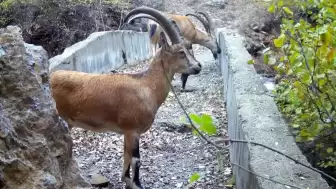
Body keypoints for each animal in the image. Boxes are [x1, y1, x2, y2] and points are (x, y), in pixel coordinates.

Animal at [49, 5, 202, 189]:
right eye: (181, 52)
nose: (198, 66)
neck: (146, 85)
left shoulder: (126, 132)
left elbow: (126, 155)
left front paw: (126, 179)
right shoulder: (132, 130)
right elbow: (136, 159)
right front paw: (137, 184)